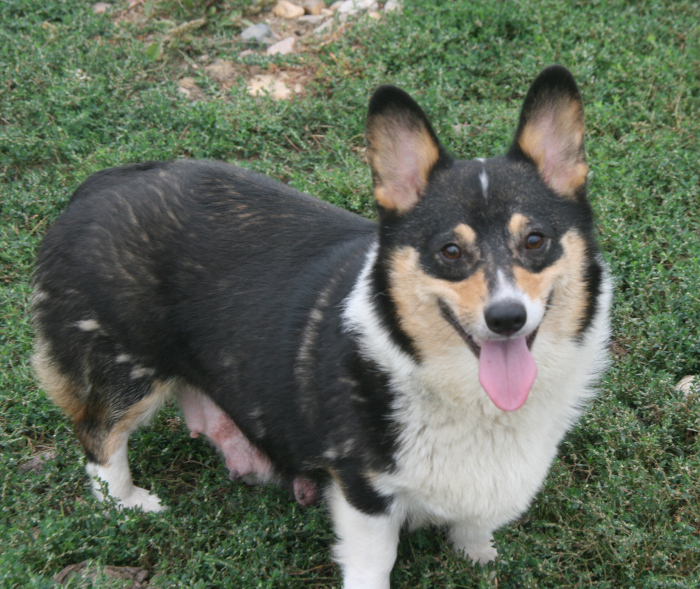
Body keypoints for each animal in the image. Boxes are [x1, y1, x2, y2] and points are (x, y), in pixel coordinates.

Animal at [31, 66, 612, 584]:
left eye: (535, 240)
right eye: (450, 251)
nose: (507, 318)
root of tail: (95, 186)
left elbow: (474, 527)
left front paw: (481, 557)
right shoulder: (363, 491)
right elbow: (375, 563)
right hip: (128, 369)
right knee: (99, 436)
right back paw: (127, 503)